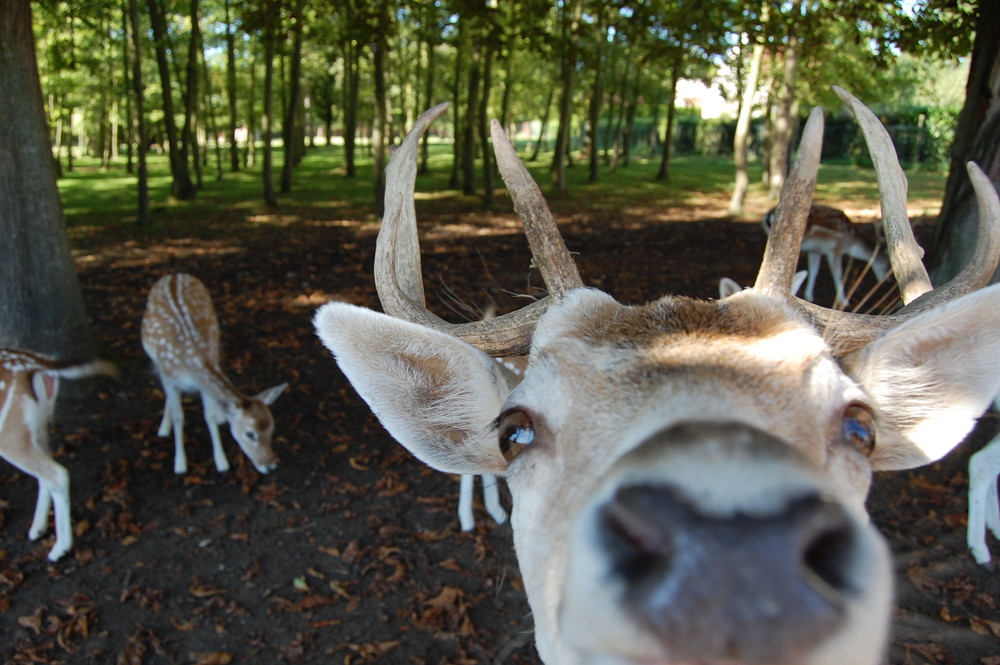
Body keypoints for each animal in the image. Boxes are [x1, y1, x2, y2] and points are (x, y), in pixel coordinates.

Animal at [0, 348, 116, 560]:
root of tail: (39, 363)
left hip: (11, 435)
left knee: (57, 473)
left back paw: (59, 548)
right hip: (37, 427)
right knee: (46, 472)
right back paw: (37, 529)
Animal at [139, 272, 286, 474]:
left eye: (272, 427)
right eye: (250, 434)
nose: (270, 466)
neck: (192, 362)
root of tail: (175, 275)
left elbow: (208, 416)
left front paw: (221, 461)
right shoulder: (168, 375)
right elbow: (178, 417)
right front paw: (180, 463)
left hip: (215, 341)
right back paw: (163, 427)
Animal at [764, 204, 892, 304]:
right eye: (886, 263)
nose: (887, 281)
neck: (851, 243)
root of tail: (768, 215)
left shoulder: (815, 250)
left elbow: (814, 271)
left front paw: (809, 296)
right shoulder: (835, 250)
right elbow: (838, 274)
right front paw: (844, 301)